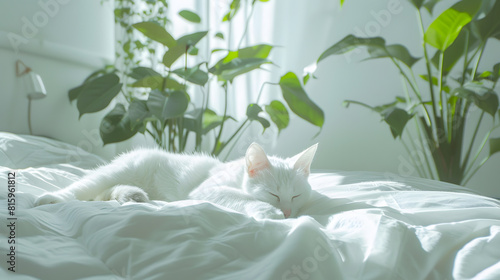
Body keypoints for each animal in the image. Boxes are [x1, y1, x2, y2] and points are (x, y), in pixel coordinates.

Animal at [34, 143, 316, 220]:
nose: (288, 212)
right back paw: (52, 198)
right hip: (117, 171)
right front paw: (266, 211)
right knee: (83, 189)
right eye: (273, 195)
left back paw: (131, 195)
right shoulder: (205, 190)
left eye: (296, 196)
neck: (236, 174)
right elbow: (239, 196)